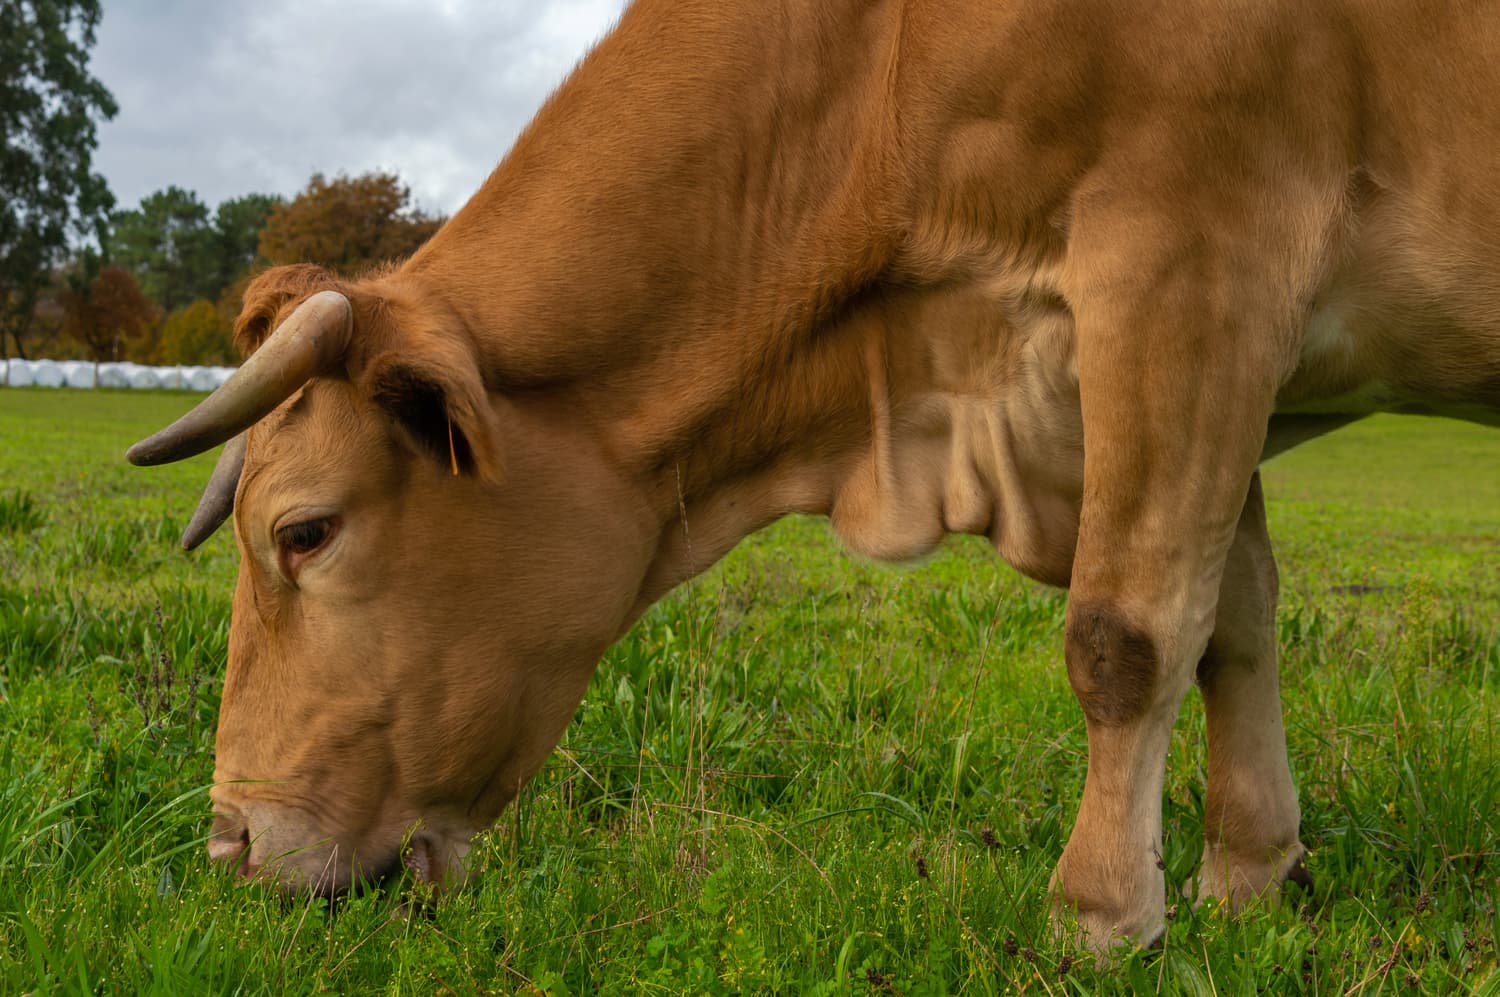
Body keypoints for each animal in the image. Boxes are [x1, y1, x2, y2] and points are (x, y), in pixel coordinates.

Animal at [129, 0, 1500, 953]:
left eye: (304, 530)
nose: (229, 842)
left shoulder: (1190, 265)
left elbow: (1128, 635)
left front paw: (1102, 912)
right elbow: (1234, 623)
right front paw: (1252, 875)